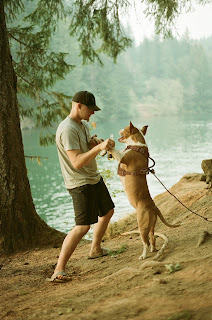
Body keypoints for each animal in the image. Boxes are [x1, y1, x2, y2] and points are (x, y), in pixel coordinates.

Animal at [108, 122, 180, 260]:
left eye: (125, 129)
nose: (119, 128)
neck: (137, 146)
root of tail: (153, 207)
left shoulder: (122, 158)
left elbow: (115, 151)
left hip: (142, 225)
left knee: (145, 241)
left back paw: (144, 255)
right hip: (151, 225)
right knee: (153, 237)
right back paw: (153, 249)